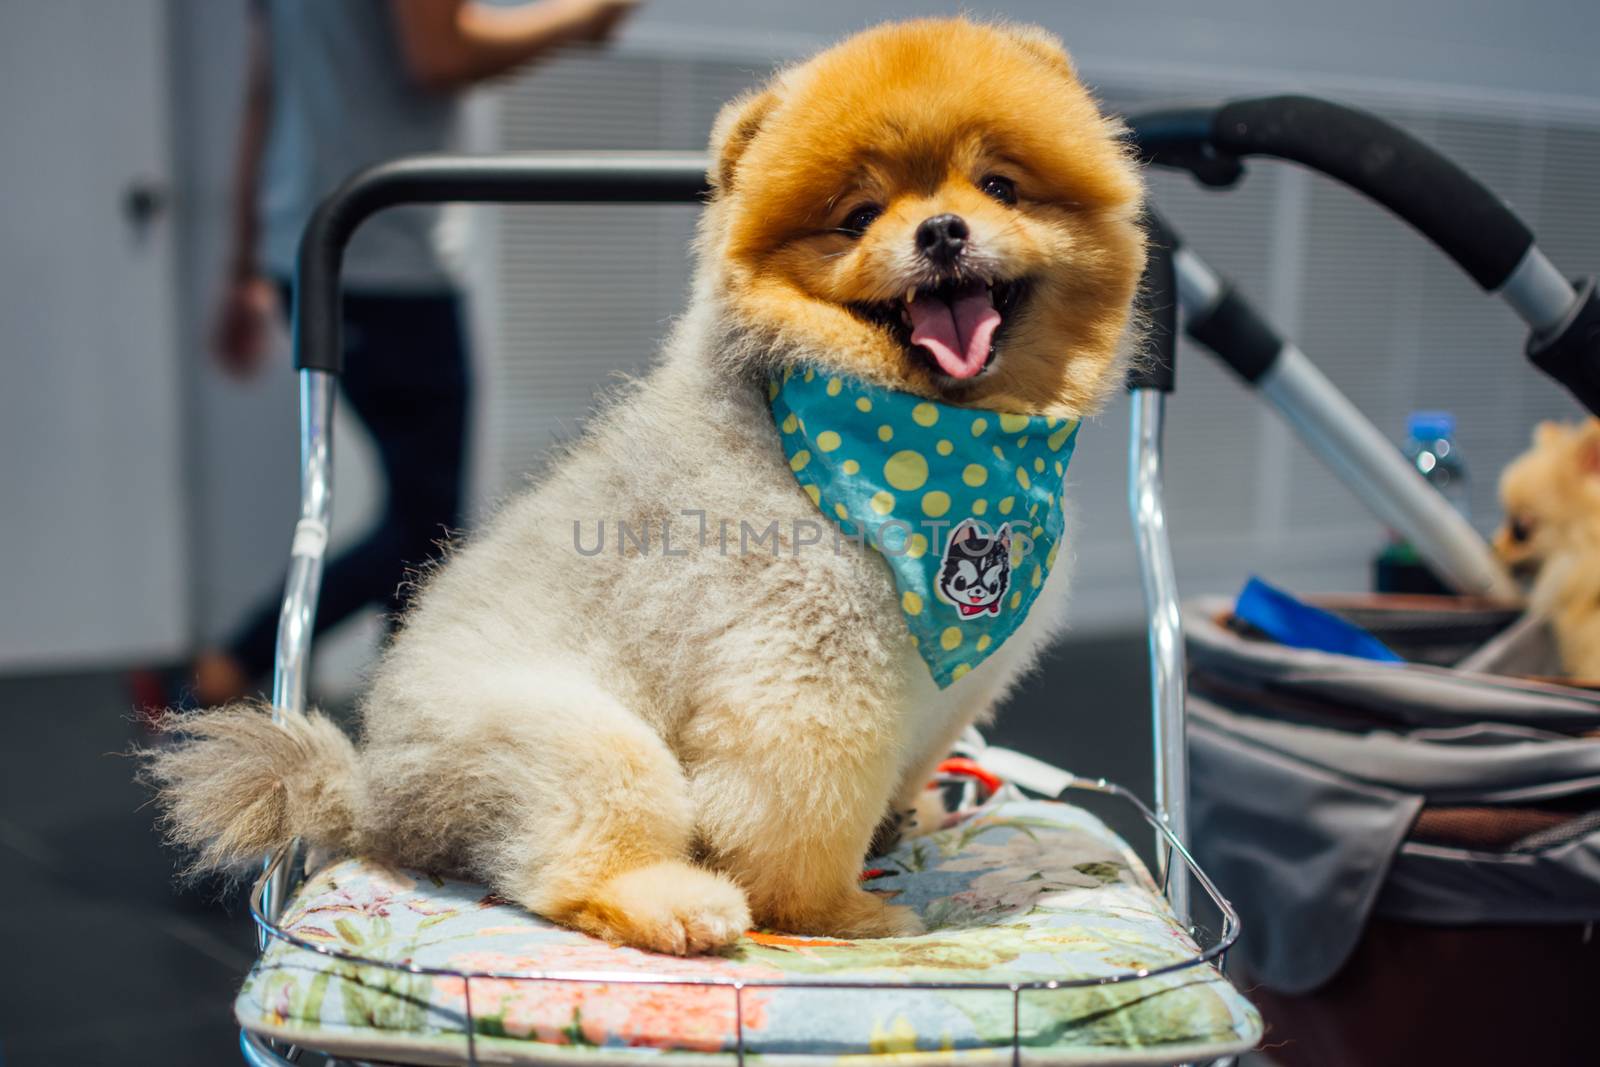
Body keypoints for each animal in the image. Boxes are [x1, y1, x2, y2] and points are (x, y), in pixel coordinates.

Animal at [150, 16, 1145, 953]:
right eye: (860, 215)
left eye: (1000, 187)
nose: (941, 230)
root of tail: (365, 794)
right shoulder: (804, 674)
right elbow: (798, 821)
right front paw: (836, 911)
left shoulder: (953, 693)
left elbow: (906, 768)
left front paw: (911, 820)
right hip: (575, 740)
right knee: (579, 849)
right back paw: (675, 903)